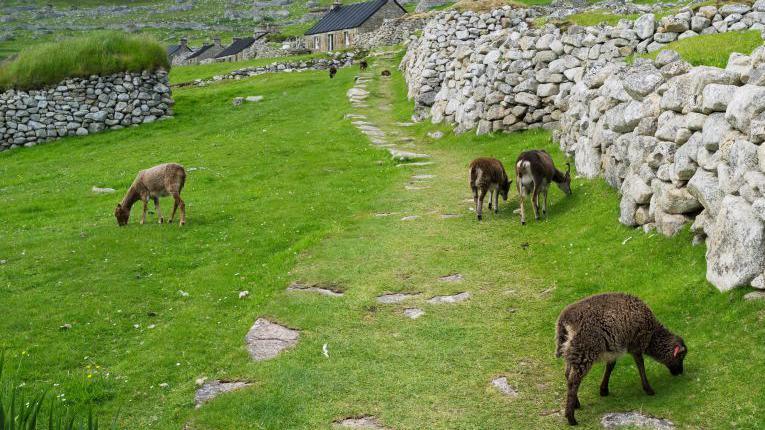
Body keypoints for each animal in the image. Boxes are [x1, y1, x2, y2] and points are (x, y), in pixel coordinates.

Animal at [555, 293, 687, 426]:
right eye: (681, 356)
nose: (680, 372)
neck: (652, 337)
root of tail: (564, 321)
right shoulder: (636, 344)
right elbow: (640, 365)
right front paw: (648, 389)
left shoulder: (613, 348)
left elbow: (610, 366)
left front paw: (604, 390)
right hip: (584, 350)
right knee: (573, 380)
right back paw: (571, 418)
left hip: (571, 351)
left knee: (567, 374)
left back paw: (576, 404)